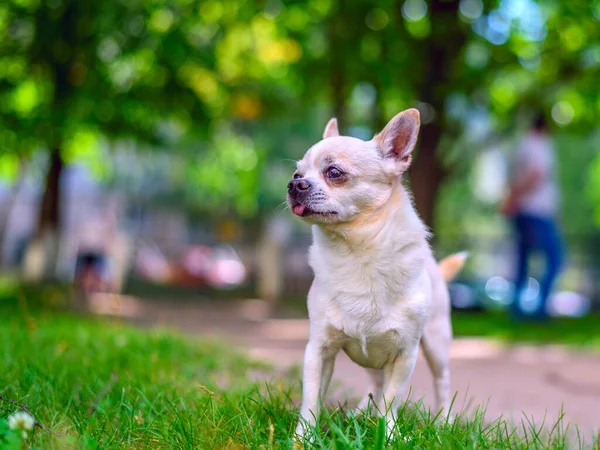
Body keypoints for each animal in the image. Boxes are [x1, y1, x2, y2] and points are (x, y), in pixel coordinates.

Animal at [288, 109, 468, 440]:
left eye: (334, 172)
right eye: (297, 174)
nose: (294, 185)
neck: (357, 252)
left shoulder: (404, 355)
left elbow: (390, 399)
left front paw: (389, 434)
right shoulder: (318, 350)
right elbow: (311, 399)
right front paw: (303, 437)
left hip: (436, 345)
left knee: (441, 382)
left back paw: (443, 421)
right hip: (370, 356)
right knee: (373, 383)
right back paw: (360, 415)